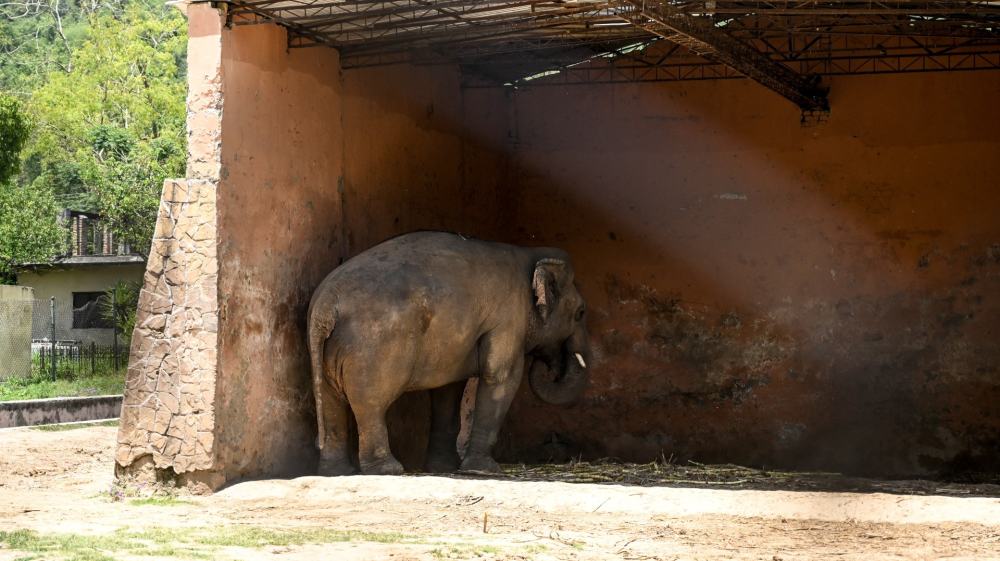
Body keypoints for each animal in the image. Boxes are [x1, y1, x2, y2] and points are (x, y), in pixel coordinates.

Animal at [308, 230, 588, 474]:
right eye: (580, 313)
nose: (548, 366)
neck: (530, 255)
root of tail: (325, 304)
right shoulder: (508, 318)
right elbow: (501, 376)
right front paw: (483, 470)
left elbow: (448, 389)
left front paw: (445, 468)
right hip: (372, 350)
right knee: (371, 403)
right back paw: (388, 470)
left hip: (328, 352)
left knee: (331, 401)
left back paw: (337, 473)